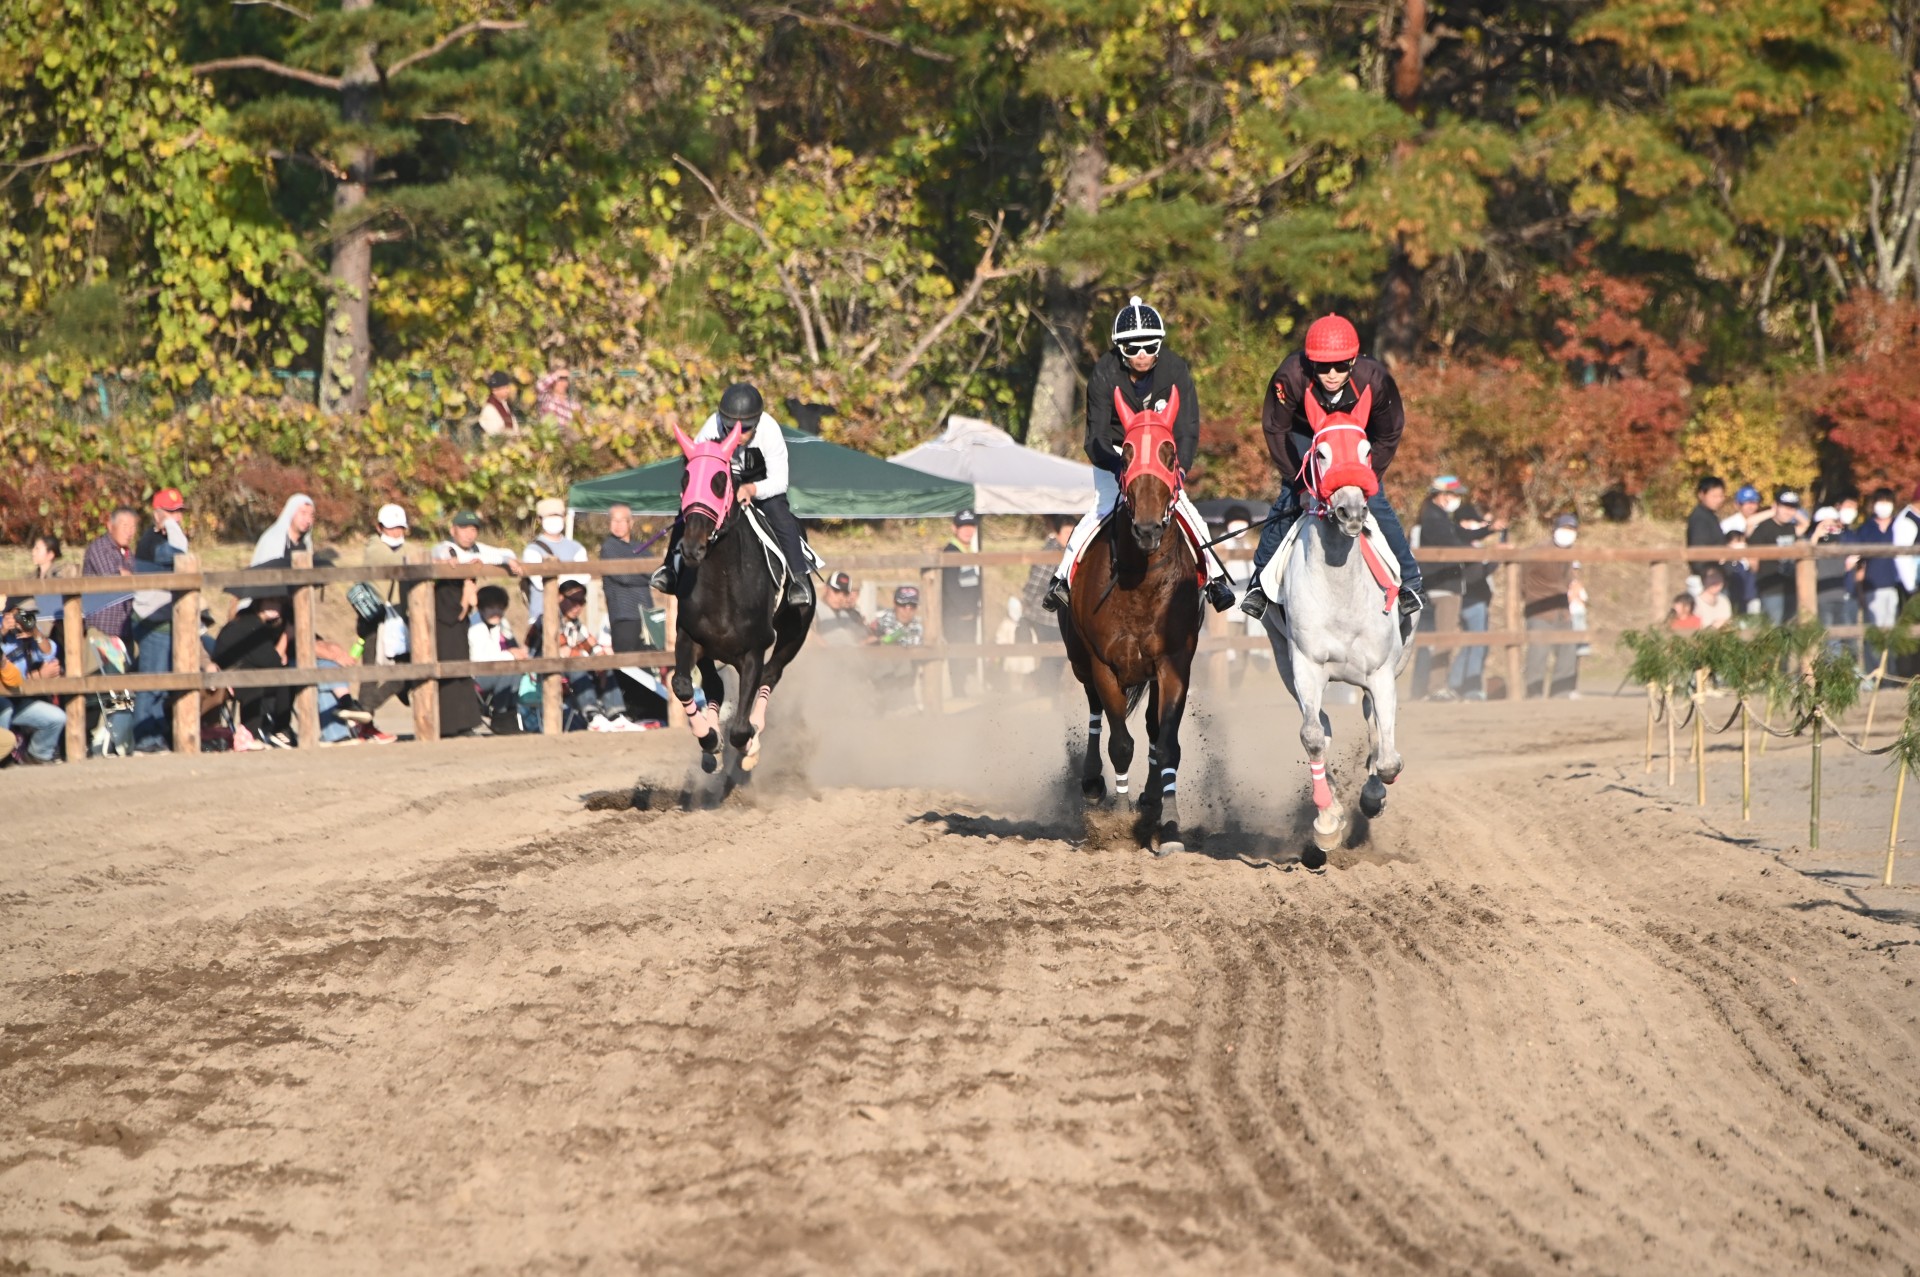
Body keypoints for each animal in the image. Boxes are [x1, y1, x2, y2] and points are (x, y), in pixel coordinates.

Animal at [668, 422, 810, 771]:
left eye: (719, 483)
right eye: (685, 480)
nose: (692, 548)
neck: (723, 587)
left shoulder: (754, 651)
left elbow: (741, 728)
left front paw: (748, 747)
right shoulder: (689, 636)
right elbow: (682, 684)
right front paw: (708, 739)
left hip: (793, 636)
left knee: (771, 675)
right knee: (715, 686)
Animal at [1067, 384, 1198, 852]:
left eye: (1169, 455)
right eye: (1124, 455)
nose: (1145, 529)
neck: (1140, 584)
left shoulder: (1174, 663)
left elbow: (1168, 743)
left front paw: (1169, 823)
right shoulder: (1103, 663)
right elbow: (1120, 742)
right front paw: (1120, 819)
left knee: (1154, 730)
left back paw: (1151, 798)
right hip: (1080, 659)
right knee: (1095, 712)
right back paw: (1094, 784)